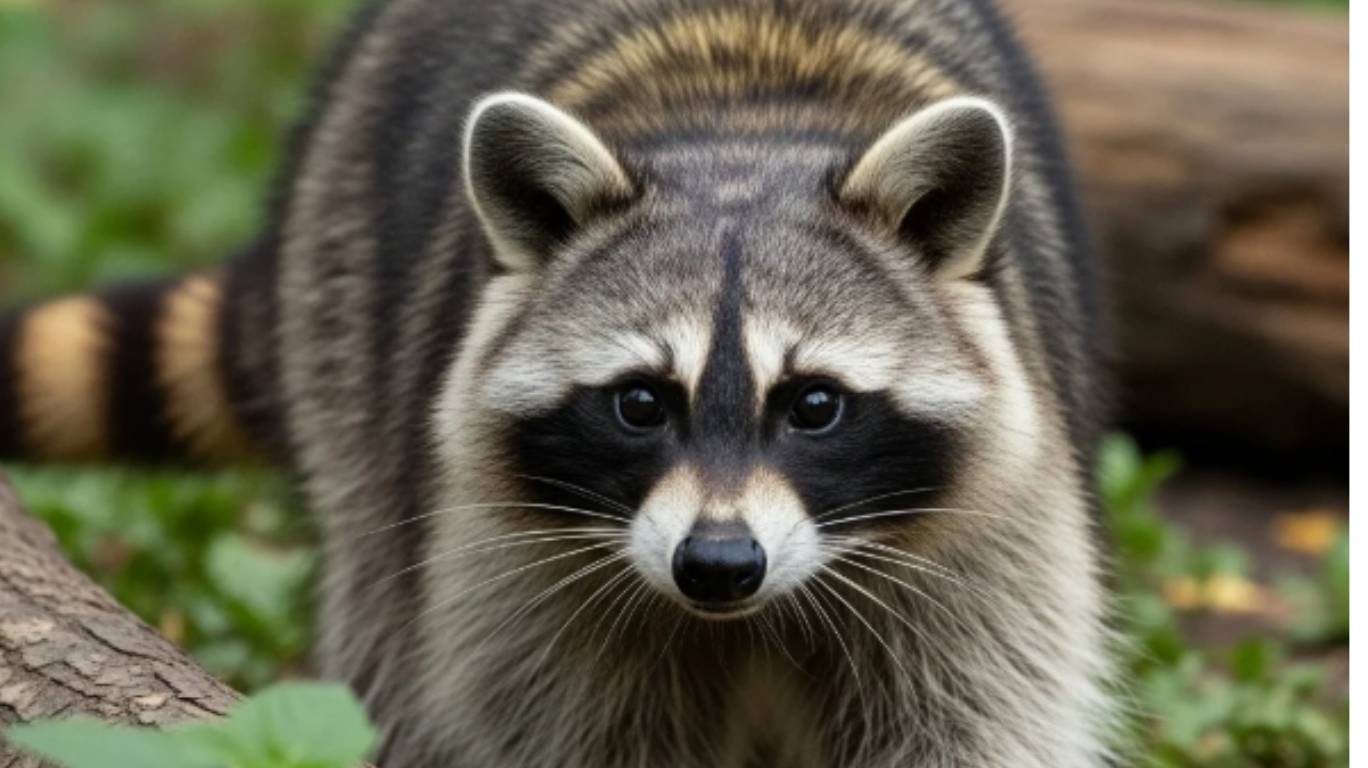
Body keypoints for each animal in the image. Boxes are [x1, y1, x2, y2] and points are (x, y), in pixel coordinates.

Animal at [0, 0, 1113, 765]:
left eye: (814, 405)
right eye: (641, 402)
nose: (718, 564)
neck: (743, 136)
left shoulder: (985, 549)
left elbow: (977, 718)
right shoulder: (512, 576)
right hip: (342, 301)